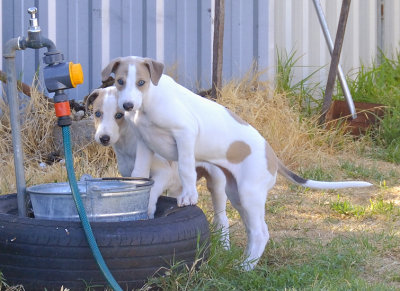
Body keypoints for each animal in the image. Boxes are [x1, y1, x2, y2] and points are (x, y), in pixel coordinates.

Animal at [84, 87, 228, 244]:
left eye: (119, 115)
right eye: (98, 113)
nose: (104, 138)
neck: (127, 143)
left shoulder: (164, 173)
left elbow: (152, 192)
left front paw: (148, 211)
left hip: (217, 183)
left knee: (222, 218)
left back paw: (225, 246)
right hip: (179, 185)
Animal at [101, 57, 372, 272]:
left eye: (141, 82)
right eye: (120, 81)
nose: (127, 105)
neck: (149, 103)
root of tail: (273, 157)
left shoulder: (186, 133)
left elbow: (186, 168)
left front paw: (188, 196)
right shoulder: (145, 144)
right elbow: (140, 175)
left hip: (250, 193)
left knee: (261, 233)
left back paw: (244, 269)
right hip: (237, 194)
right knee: (255, 231)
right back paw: (245, 262)